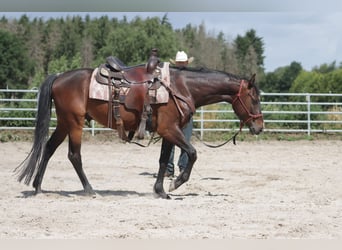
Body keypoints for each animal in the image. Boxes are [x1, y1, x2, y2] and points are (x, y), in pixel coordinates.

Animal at [14, 65, 264, 198]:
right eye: (254, 98)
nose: (259, 127)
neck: (182, 88)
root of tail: (59, 77)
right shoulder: (170, 130)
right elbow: (192, 153)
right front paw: (176, 183)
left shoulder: (168, 132)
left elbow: (163, 161)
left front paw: (160, 190)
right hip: (75, 123)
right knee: (74, 155)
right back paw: (89, 189)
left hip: (65, 123)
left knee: (48, 149)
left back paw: (37, 187)